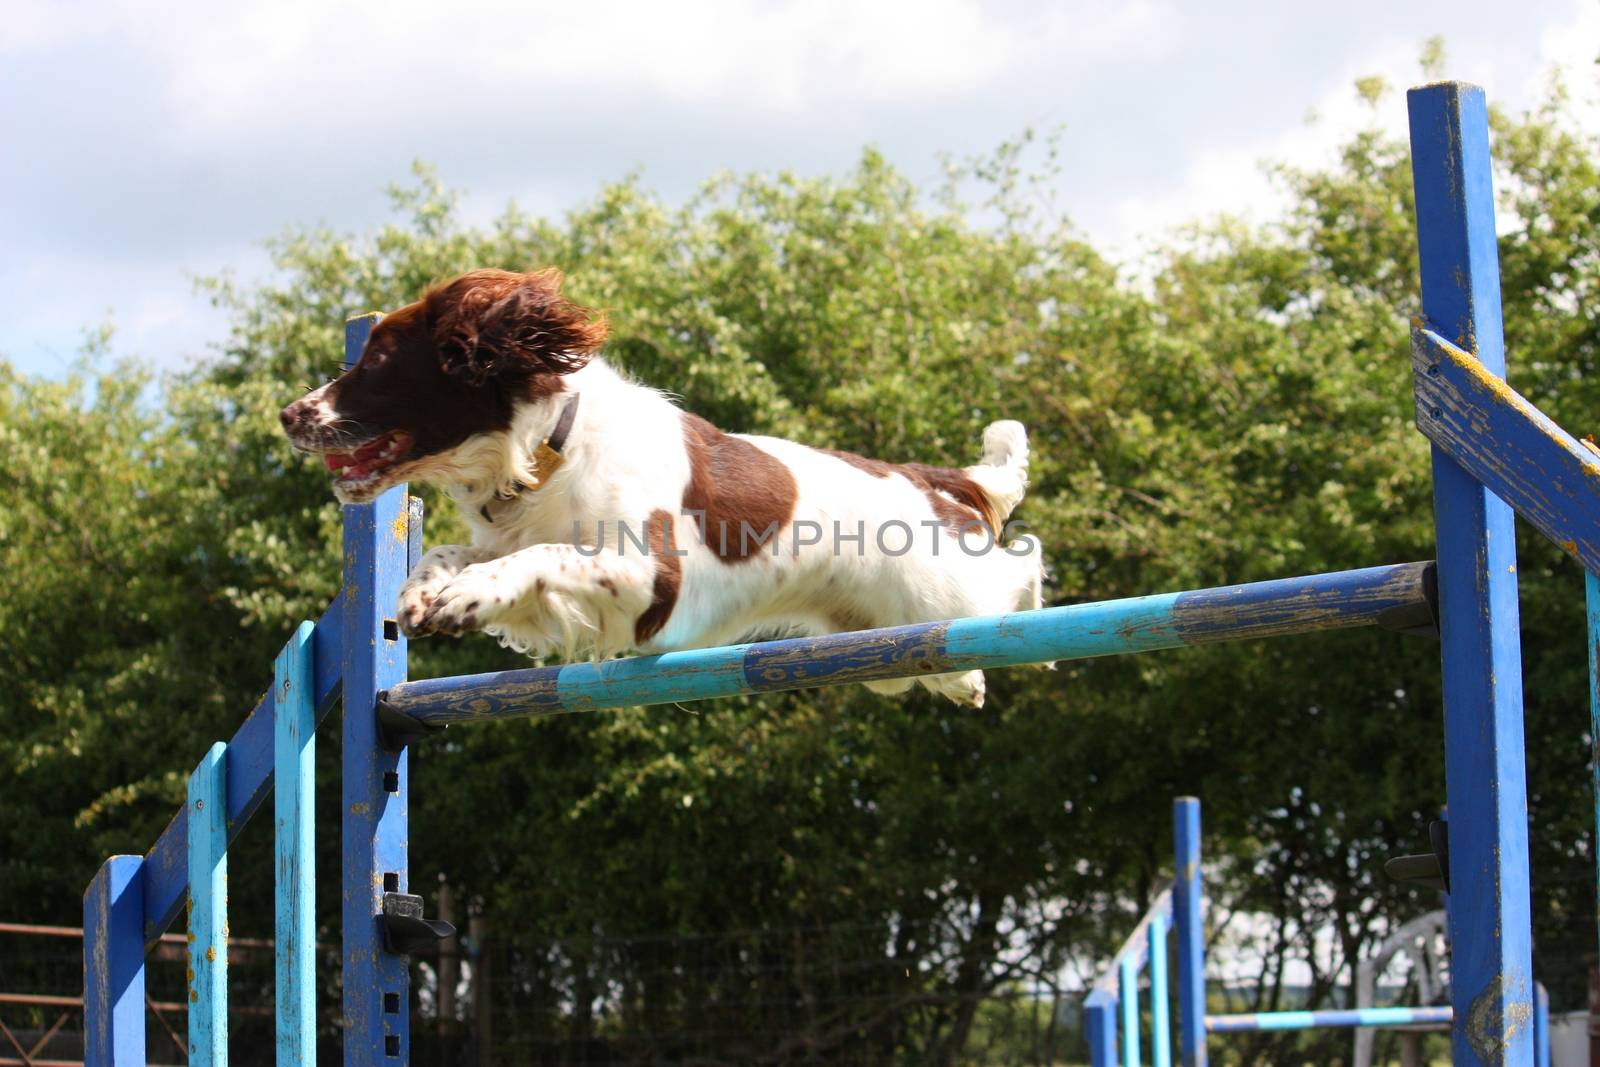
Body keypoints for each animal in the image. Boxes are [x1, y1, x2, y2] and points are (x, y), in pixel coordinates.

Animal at [281, 267, 1043, 703]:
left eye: (378, 361)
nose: (288, 414)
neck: (549, 447)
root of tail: (923, 476)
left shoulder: (654, 579)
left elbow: (540, 557)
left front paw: (465, 596)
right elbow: (463, 551)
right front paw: (424, 593)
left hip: (946, 594)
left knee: (1019, 567)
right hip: (884, 645)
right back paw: (969, 681)